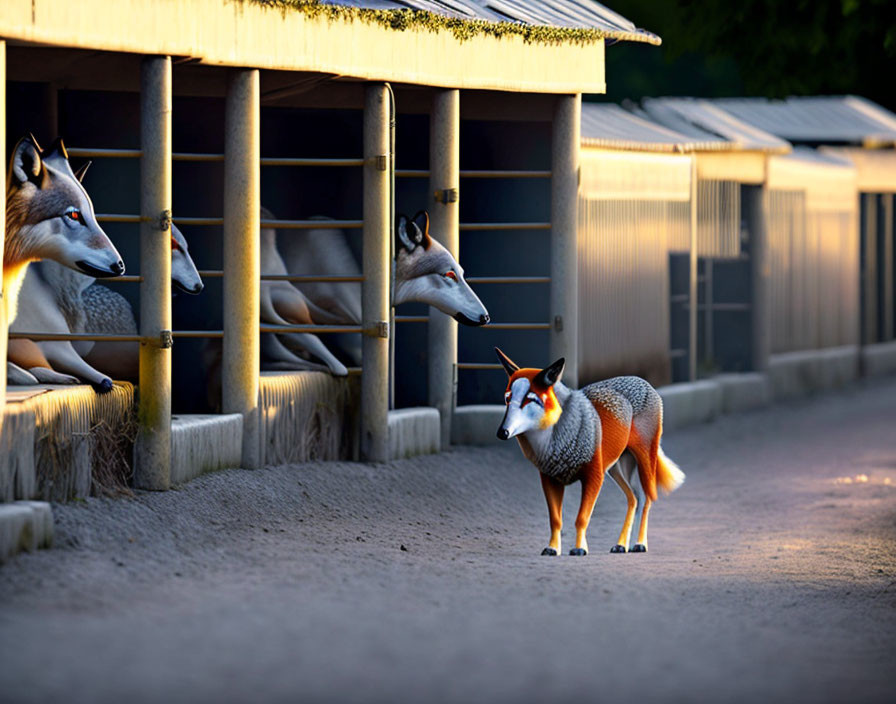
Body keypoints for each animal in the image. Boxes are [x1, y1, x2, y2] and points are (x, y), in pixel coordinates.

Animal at [494, 346, 684, 556]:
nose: (502, 432)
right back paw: (621, 545)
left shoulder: (594, 476)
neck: (554, 441)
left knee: (646, 498)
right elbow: (555, 520)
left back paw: (639, 544)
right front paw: (553, 548)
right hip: (616, 468)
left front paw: (579, 548)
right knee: (634, 498)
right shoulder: (550, 479)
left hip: (643, 461)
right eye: (507, 398)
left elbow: (581, 518)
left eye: (529, 400)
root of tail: (643, 382)